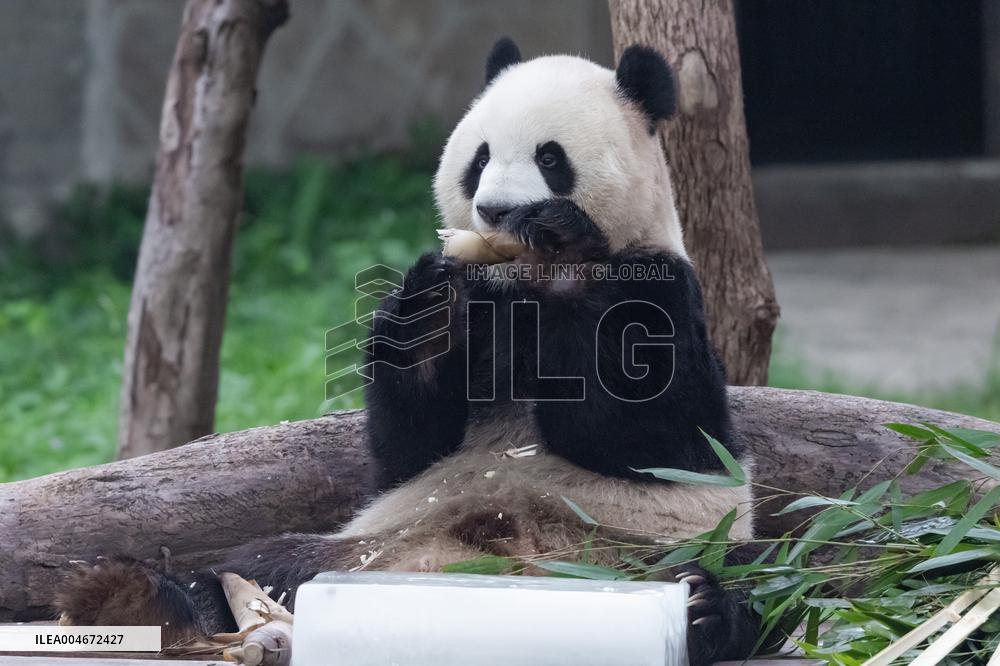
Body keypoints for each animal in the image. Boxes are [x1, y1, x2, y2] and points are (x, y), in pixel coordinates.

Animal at [56, 39, 761, 665]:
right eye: (479, 158)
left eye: (550, 157)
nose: (496, 211)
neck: (515, 286)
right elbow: (409, 443)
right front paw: (431, 306)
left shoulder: (660, 285)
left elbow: (650, 433)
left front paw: (562, 244)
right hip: (360, 548)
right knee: (260, 563)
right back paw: (146, 598)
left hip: (648, 546)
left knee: (753, 580)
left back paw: (706, 611)